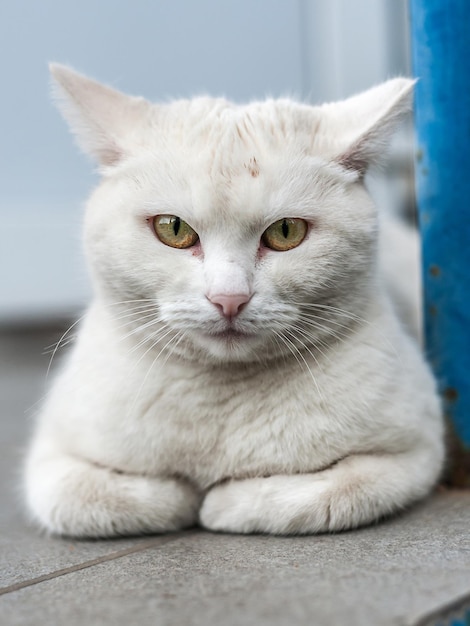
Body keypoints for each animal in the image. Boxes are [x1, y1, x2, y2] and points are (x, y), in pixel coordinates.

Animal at [24, 64, 444, 536]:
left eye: (286, 232)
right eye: (172, 228)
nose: (229, 298)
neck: (219, 406)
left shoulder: (411, 451)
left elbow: (319, 495)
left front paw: (223, 502)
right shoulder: (51, 458)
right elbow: (92, 498)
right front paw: (179, 495)